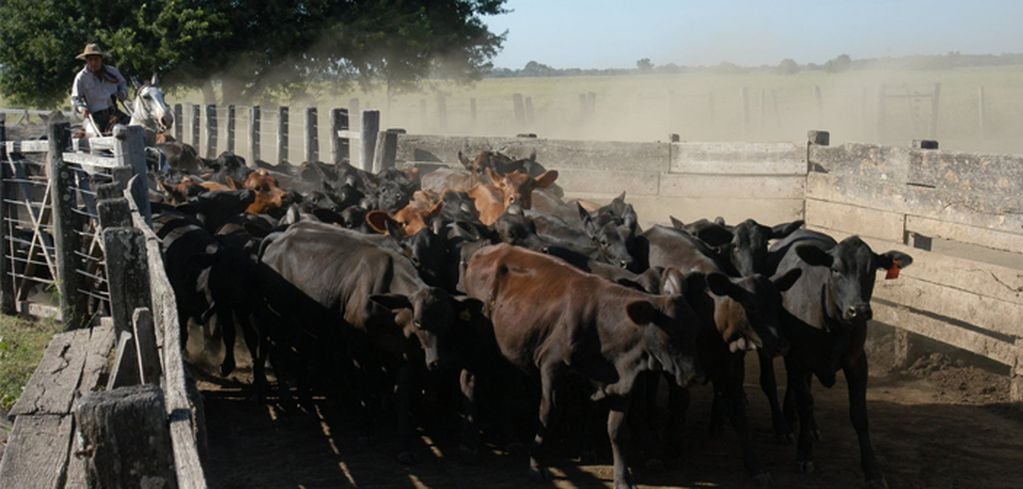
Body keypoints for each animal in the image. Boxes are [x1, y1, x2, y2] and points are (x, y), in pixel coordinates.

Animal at [464, 244, 703, 488]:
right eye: (671, 334)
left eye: (696, 332)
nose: (694, 376)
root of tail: (489, 250)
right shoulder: (552, 366)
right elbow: (548, 414)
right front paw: (536, 464)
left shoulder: (621, 382)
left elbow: (616, 430)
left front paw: (622, 477)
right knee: (470, 383)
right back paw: (473, 444)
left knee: (504, 386)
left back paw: (510, 439)